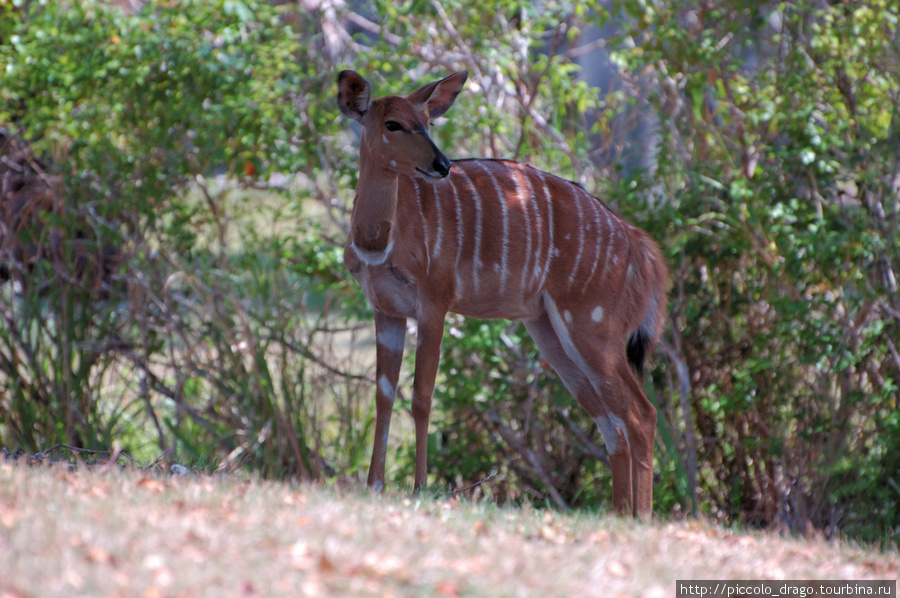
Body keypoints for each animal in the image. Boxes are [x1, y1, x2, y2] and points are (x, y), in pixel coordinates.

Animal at [336, 70, 668, 520]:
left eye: (428, 121)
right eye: (393, 124)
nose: (442, 165)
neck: (379, 240)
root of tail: (636, 242)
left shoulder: (434, 302)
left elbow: (422, 396)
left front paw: (420, 487)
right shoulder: (386, 310)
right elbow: (383, 395)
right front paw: (374, 486)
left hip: (591, 325)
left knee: (640, 413)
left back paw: (642, 518)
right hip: (551, 332)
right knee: (611, 420)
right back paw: (620, 514)